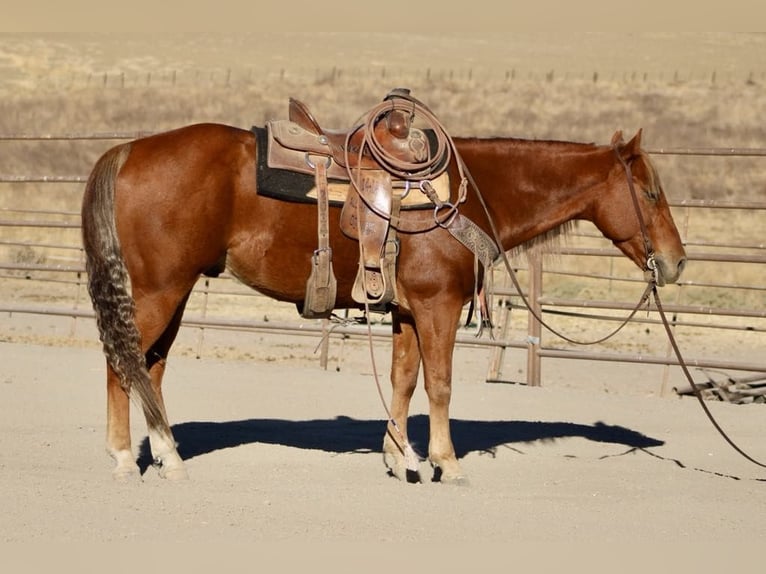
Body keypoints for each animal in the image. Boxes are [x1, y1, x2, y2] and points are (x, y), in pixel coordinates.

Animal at [81, 105, 687, 484]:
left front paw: (401, 459)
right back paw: (123, 458)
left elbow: (404, 381)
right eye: (650, 192)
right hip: (158, 291)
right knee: (122, 363)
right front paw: (447, 463)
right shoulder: (439, 307)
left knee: (151, 367)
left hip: (175, 291)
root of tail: (128, 150)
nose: (676, 261)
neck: (471, 194)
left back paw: (168, 455)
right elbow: (440, 385)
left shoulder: (409, 312)